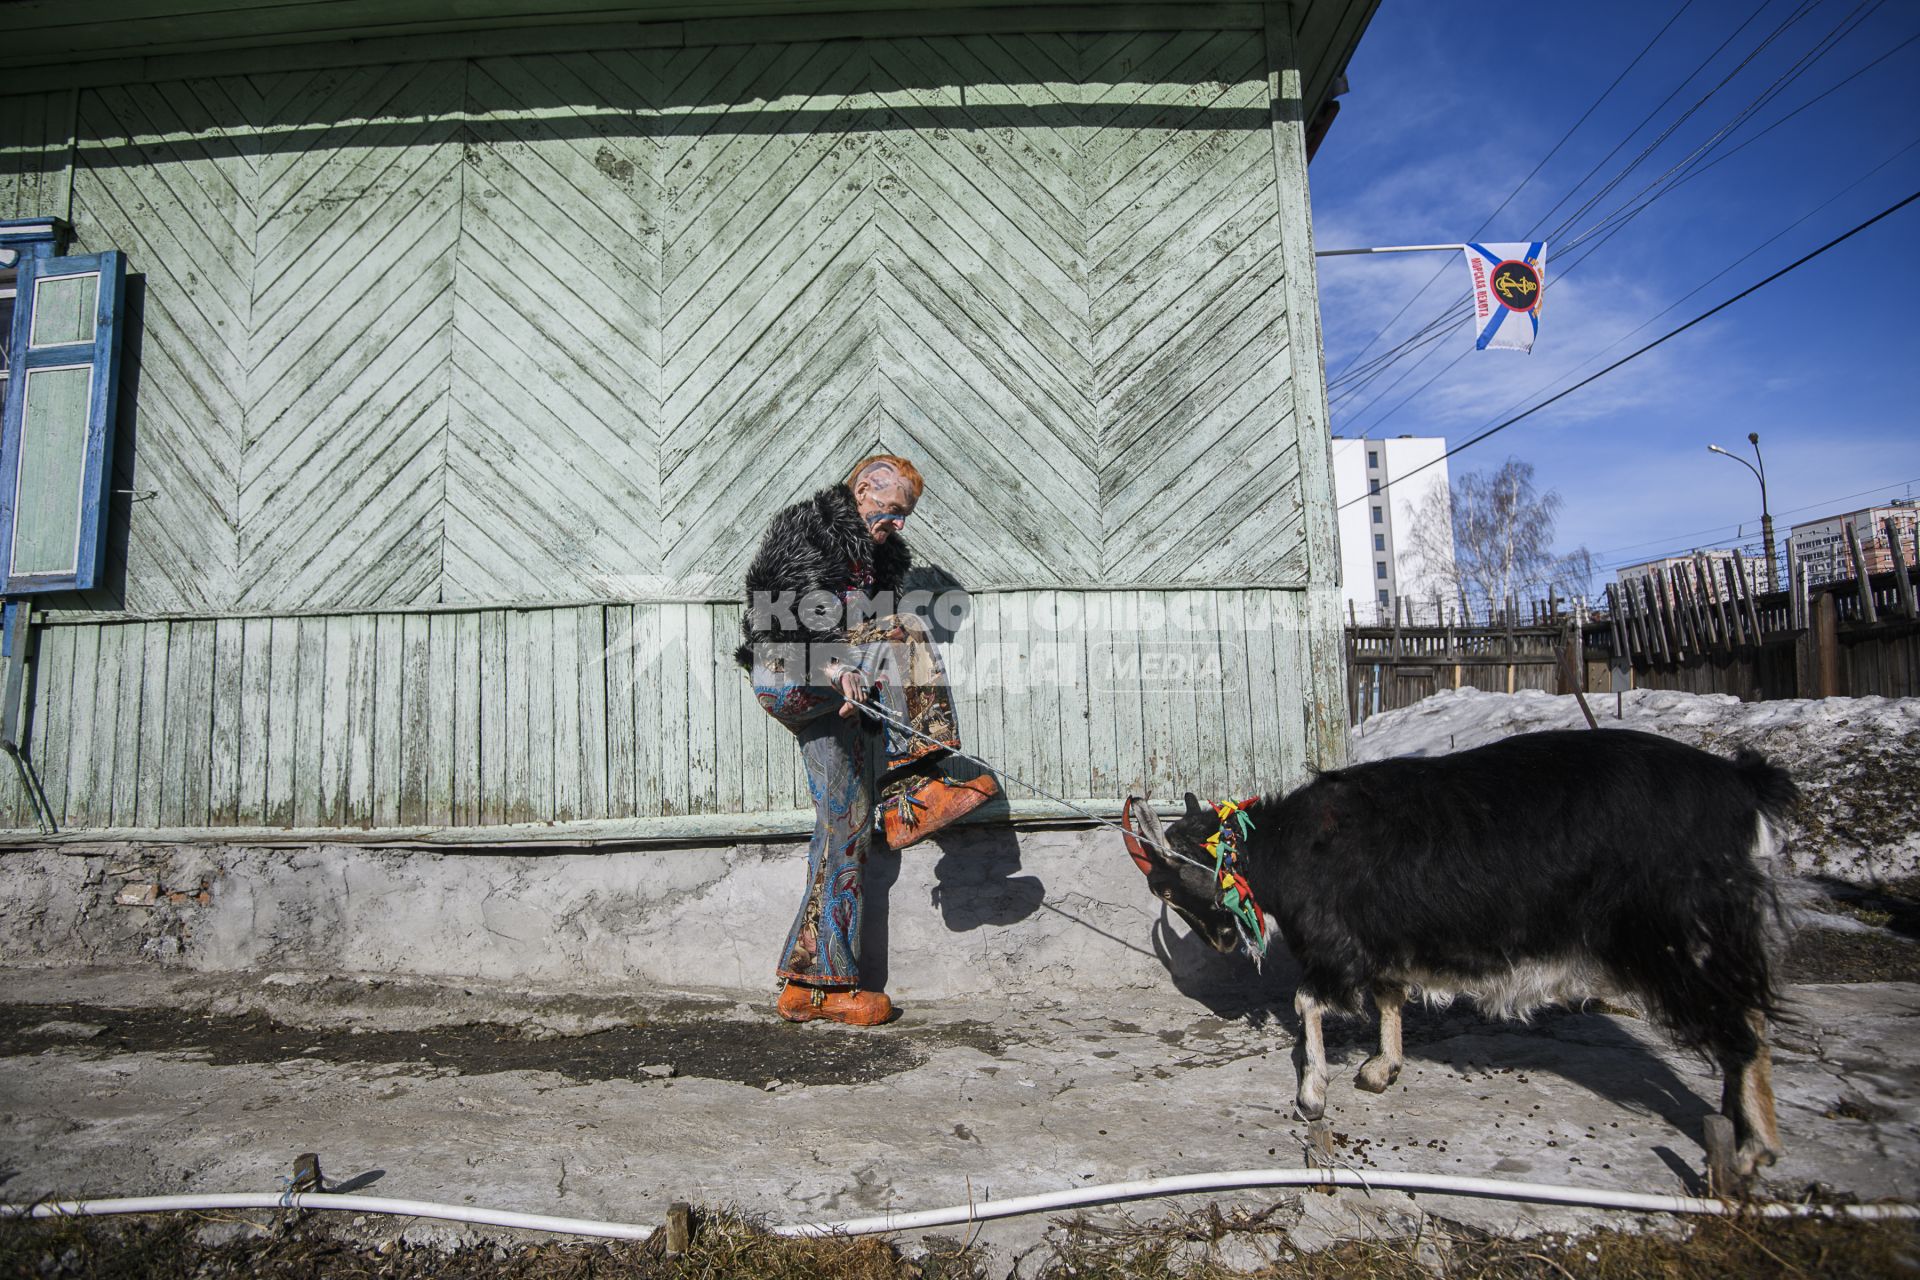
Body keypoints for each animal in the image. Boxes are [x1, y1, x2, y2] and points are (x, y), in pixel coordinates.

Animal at [1128, 725, 1789, 1174]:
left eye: (1167, 885)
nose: (1221, 941)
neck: (1290, 845)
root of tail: (1742, 786)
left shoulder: (1339, 950)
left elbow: (1307, 1001)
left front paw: (1313, 1095)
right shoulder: (1381, 943)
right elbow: (1389, 998)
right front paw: (1382, 1069)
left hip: (1683, 940)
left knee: (1742, 1030)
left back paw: (1752, 1150)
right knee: (1749, 1018)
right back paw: (1735, 1129)